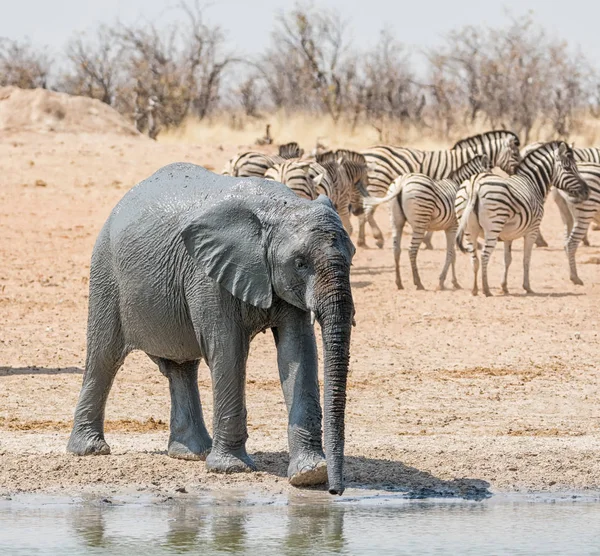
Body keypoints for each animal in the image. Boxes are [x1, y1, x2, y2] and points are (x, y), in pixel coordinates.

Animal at [67, 162, 354, 496]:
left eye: (352, 257)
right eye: (299, 263)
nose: (335, 492)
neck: (279, 209)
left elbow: (297, 351)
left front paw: (310, 474)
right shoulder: (207, 274)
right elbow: (228, 349)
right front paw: (231, 469)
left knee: (180, 367)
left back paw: (191, 453)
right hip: (105, 272)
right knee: (104, 358)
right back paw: (90, 450)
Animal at [360, 130, 520, 248]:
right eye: (515, 154)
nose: (518, 172)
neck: (464, 159)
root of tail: (366, 152)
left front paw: (427, 240)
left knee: (365, 211)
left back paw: (363, 242)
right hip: (377, 184)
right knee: (367, 211)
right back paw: (377, 238)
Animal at [364, 153, 490, 288]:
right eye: (489, 172)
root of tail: (402, 182)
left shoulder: (449, 227)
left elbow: (453, 254)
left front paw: (454, 282)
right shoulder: (453, 226)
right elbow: (451, 253)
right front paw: (444, 281)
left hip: (396, 221)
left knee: (396, 250)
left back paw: (399, 283)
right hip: (420, 219)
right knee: (412, 250)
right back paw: (418, 283)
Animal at [458, 141, 588, 298]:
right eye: (568, 168)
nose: (587, 192)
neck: (532, 183)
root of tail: (475, 183)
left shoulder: (508, 235)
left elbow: (507, 259)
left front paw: (504, 287)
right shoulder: (532, 230)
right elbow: (526, 258)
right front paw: (527, 287)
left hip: (468, 230)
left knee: (474, 259)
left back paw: (475, 289)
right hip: (493, 227)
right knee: (484, 256)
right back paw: (486, 290)